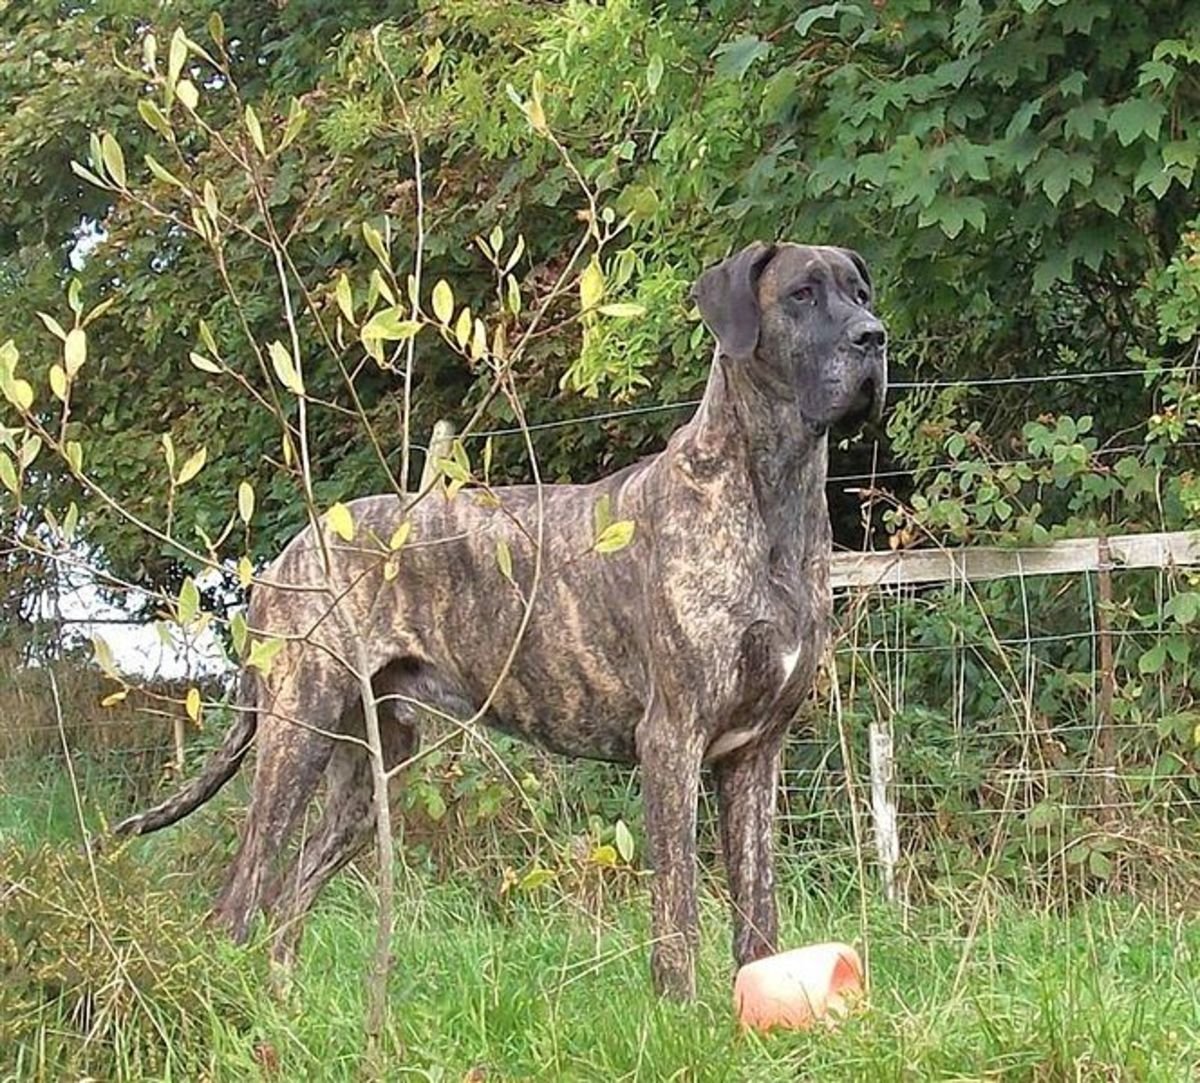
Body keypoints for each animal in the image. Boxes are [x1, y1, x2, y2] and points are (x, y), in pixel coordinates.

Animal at [114, 241, 887, 999]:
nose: (874, 338)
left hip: (370, 770)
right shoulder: (673, 740)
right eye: (802, 294)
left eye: (860, 293)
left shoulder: (755, 753)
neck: (772, 495)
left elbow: (758, 913)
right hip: (297, 732)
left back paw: (281, 1007)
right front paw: (680, 1013)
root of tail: (287, 554)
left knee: (290, 893)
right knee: (240, 898)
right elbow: (678, 912)